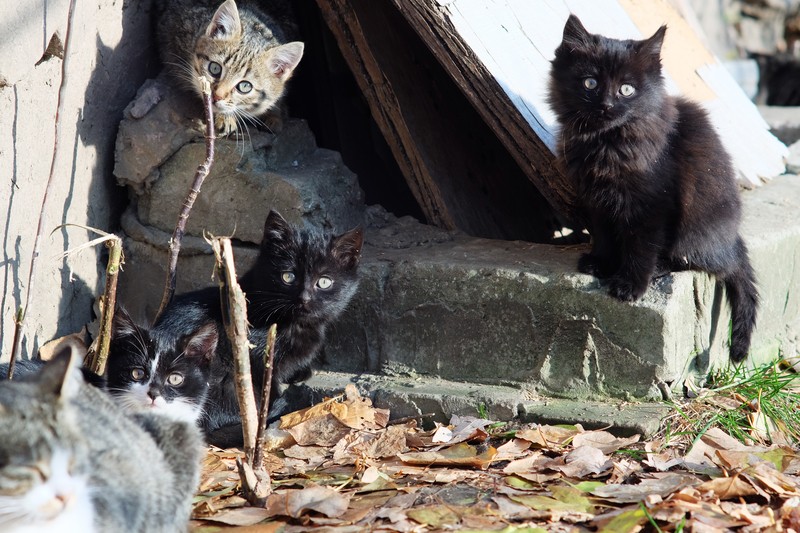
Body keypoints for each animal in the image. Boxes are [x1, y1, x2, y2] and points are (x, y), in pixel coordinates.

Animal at [154, 209, 366, 444]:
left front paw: (300, 373)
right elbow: (269, 387)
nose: (304, 298)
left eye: (324, 282)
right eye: (288, 276)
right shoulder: (257, 356)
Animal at [548, 14, 760, 362]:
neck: (607, 143)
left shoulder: (651, 203)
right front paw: (601, 262)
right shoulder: (596, 200)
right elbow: (603, 233)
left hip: (695, 228)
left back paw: (661, 266)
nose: (606, 105)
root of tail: (732, 239)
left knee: (699, 261)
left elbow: (641, 244)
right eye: (590, 83)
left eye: (626, 89)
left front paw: (630, 285)